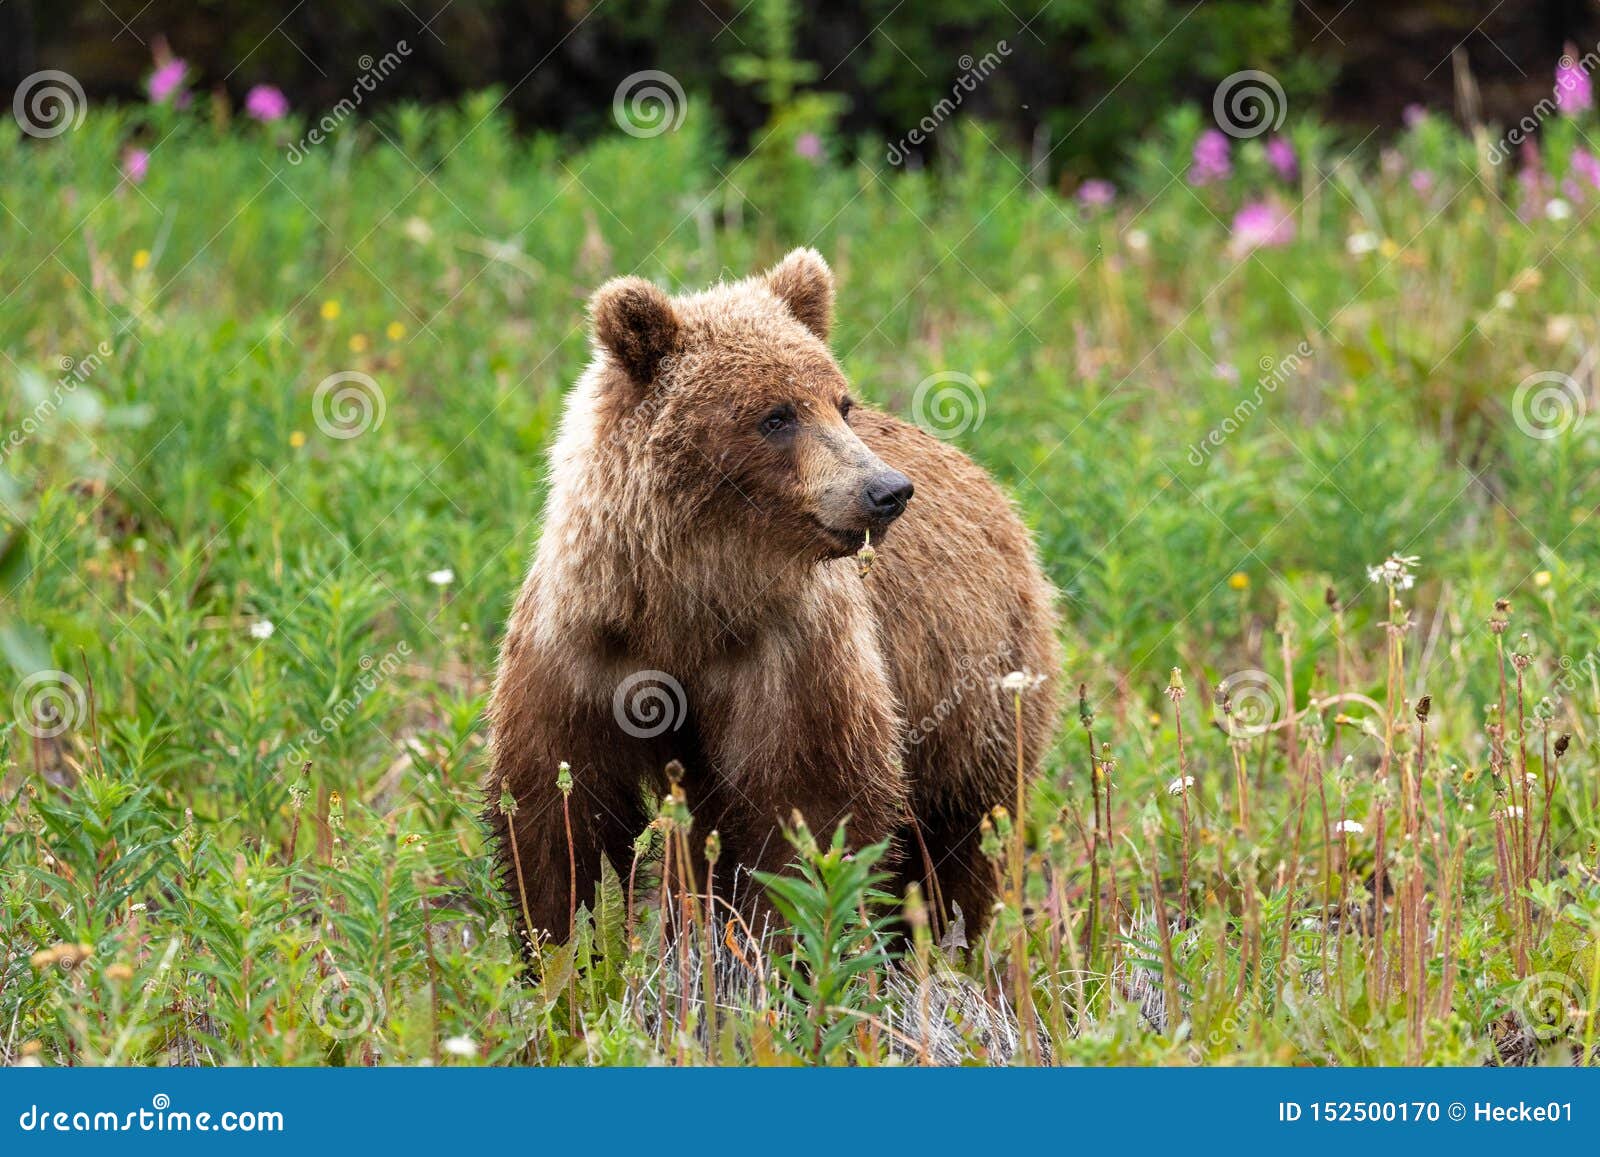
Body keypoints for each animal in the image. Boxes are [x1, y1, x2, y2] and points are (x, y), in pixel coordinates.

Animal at [485, 248, 1061, 949]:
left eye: (841, 403)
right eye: (775, 416)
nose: (887, 490)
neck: (689, 602)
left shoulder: (791, 651)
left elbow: (811, 806)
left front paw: (785, 944)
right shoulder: (585, 644)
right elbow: (559, 810)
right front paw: (568, 945)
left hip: (975, 685)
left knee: (962, 834)